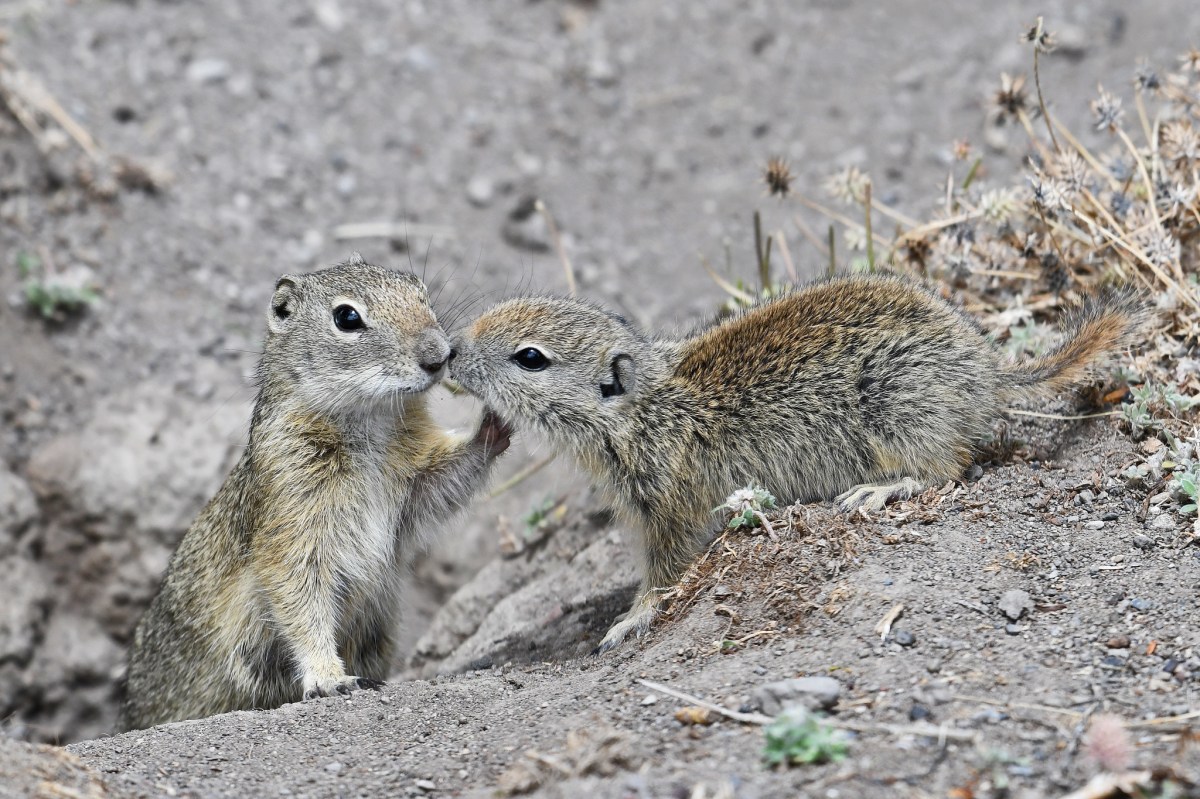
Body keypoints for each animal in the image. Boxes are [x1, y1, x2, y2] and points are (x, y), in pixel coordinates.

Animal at [119, 254, 510, 731]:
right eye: (347, 318)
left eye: (419, 291)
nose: (440, 355)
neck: (369, 423)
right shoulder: (295, 520)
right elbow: (302, 601)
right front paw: (330, 678)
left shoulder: (415, 479)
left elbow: (446, 479)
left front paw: (496, 423)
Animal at [448, 273, 1149, 652]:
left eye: (530, 358)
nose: (451, 352)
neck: (646, 408)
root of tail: (987, 373)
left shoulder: (672, 505)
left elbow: (666, 573)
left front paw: (632, 617)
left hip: (901, 408)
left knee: (947, 466)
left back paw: (879, 491)